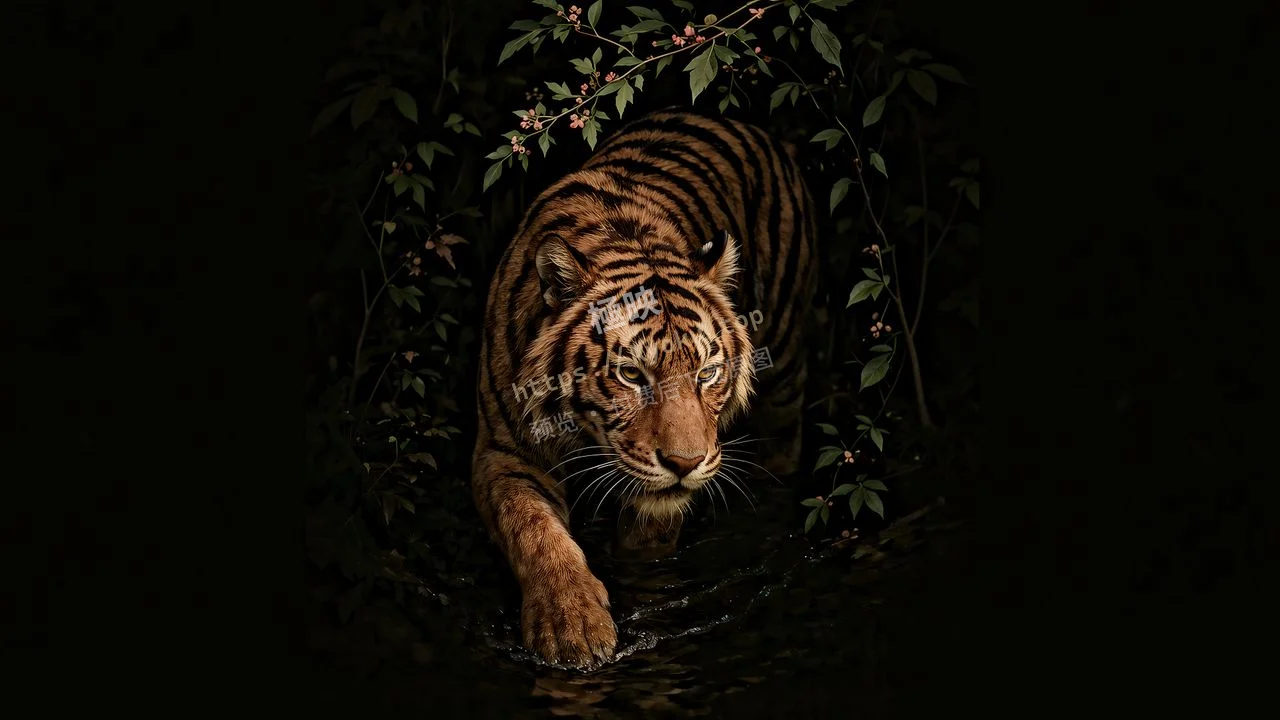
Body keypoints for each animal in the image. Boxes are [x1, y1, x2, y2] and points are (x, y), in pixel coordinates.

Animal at [472, 108, 816, 667]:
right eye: (632, 375)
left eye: (706, 373)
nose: (685, 464)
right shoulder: (505, 450)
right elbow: (534, 531)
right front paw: (571, 627)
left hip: (785, 368)